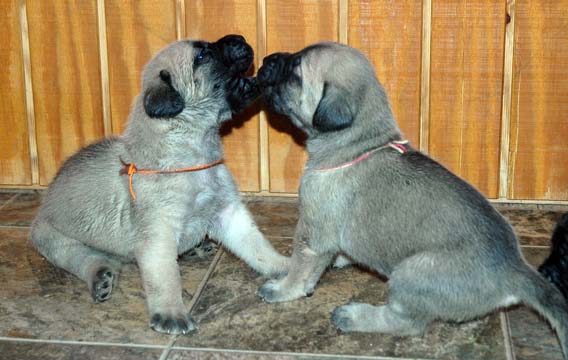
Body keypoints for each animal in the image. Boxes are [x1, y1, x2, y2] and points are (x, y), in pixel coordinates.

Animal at [31, 35, 288, 336]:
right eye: (202, 56)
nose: (241, 38)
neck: (192, 152)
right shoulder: (159, 235)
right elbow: (166, 278)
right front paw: (170, 313)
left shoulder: (229, 214)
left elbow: (257, 246)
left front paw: (284, 266)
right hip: (55, 240)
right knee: (83, 259)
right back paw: (99, 276)